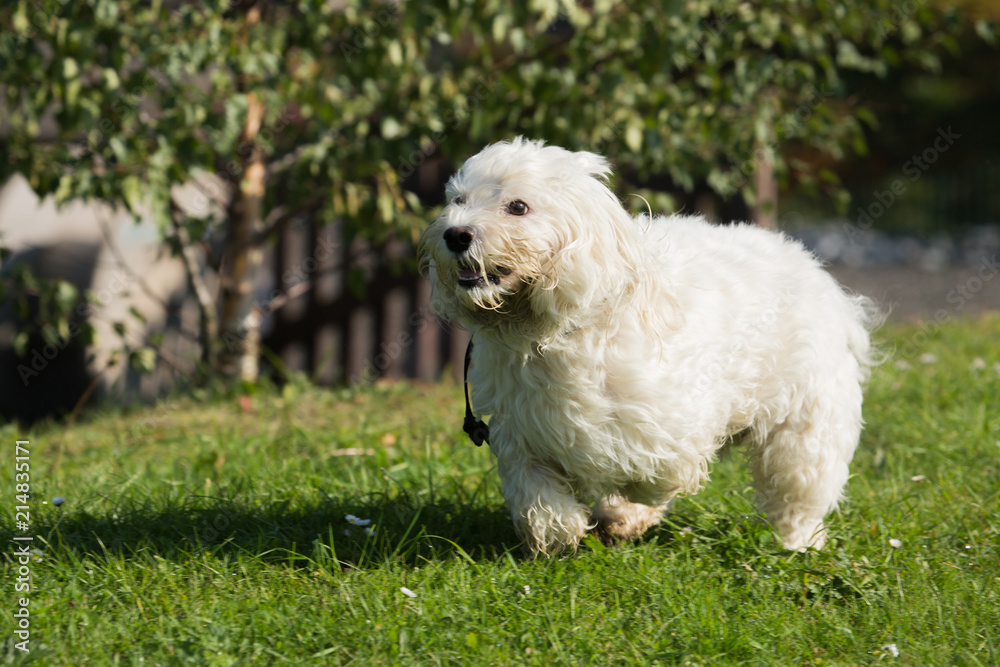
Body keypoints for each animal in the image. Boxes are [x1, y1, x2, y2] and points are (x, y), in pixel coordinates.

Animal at [418, 138, 880, 556]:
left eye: (517, 207)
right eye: (458, 199)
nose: (455, 234)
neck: (552, 332)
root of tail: (812, 267)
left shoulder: (669, 433)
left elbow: (650, 481)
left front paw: (622, 517)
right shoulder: (521, 431)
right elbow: (535, 492)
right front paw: (559, 530)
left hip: (803, 429)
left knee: (798, 492)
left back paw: (798, 543)